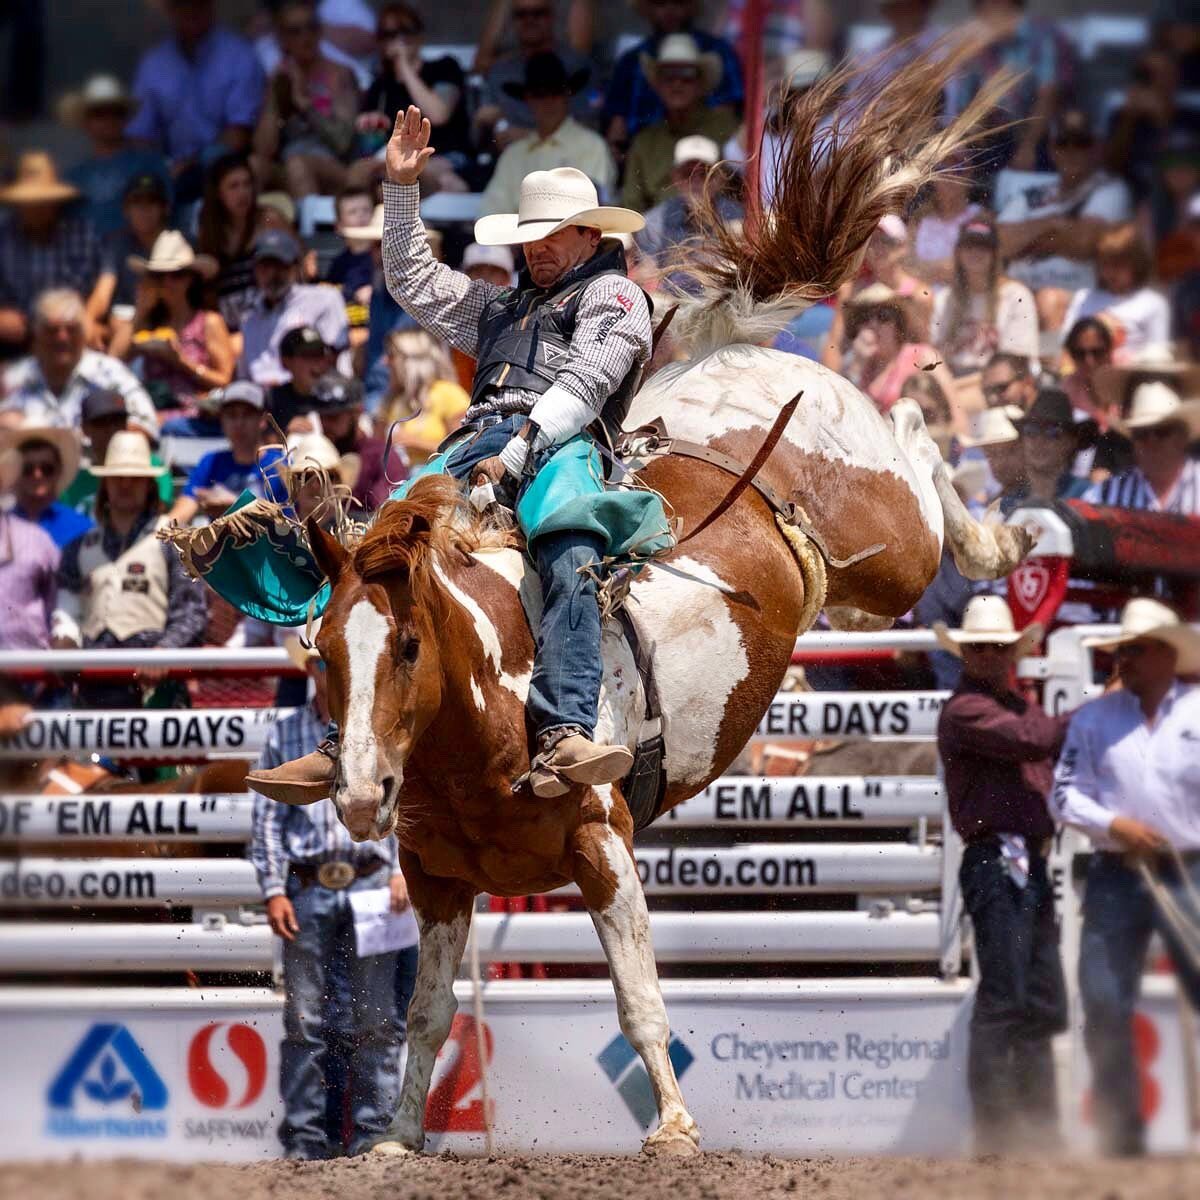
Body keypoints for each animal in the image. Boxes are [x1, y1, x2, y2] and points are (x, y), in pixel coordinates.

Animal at [169, 44, 1032, 1152]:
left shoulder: (604, 841)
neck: (477, 721)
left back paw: (997, 520)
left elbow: (638, 999)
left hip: (892, 546)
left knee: (922, 445)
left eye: (406, 648)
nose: (358, 793)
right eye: (322, 655)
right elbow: (428, 1014)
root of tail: (733, 361)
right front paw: (398, 1137)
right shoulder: (436, 877)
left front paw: (672, 1126)